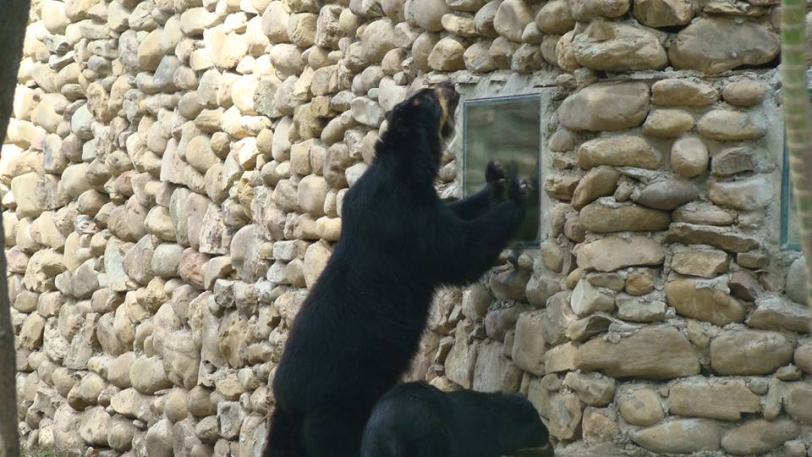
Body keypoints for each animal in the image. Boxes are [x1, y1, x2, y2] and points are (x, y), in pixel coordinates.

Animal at [265, 82, 529, 457]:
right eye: (430, 95)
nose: (451, 85)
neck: (403, 167)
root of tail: (289, 404)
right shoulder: (402, 221)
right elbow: (456, 251)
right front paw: (518, 195)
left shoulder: (420, 203)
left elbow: (457, 212)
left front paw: (496, 179)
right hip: (338, 409)